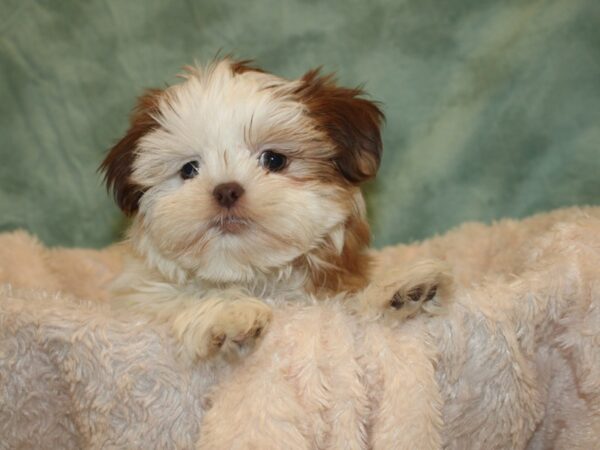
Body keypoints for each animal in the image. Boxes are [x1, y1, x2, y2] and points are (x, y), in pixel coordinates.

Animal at [101, 59, 448, 364]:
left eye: (274, 160)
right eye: (189, 169)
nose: (226, 190)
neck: (252, 274)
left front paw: (396, 291)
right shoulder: (135, 300)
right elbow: (175, 298)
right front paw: (227, 312)